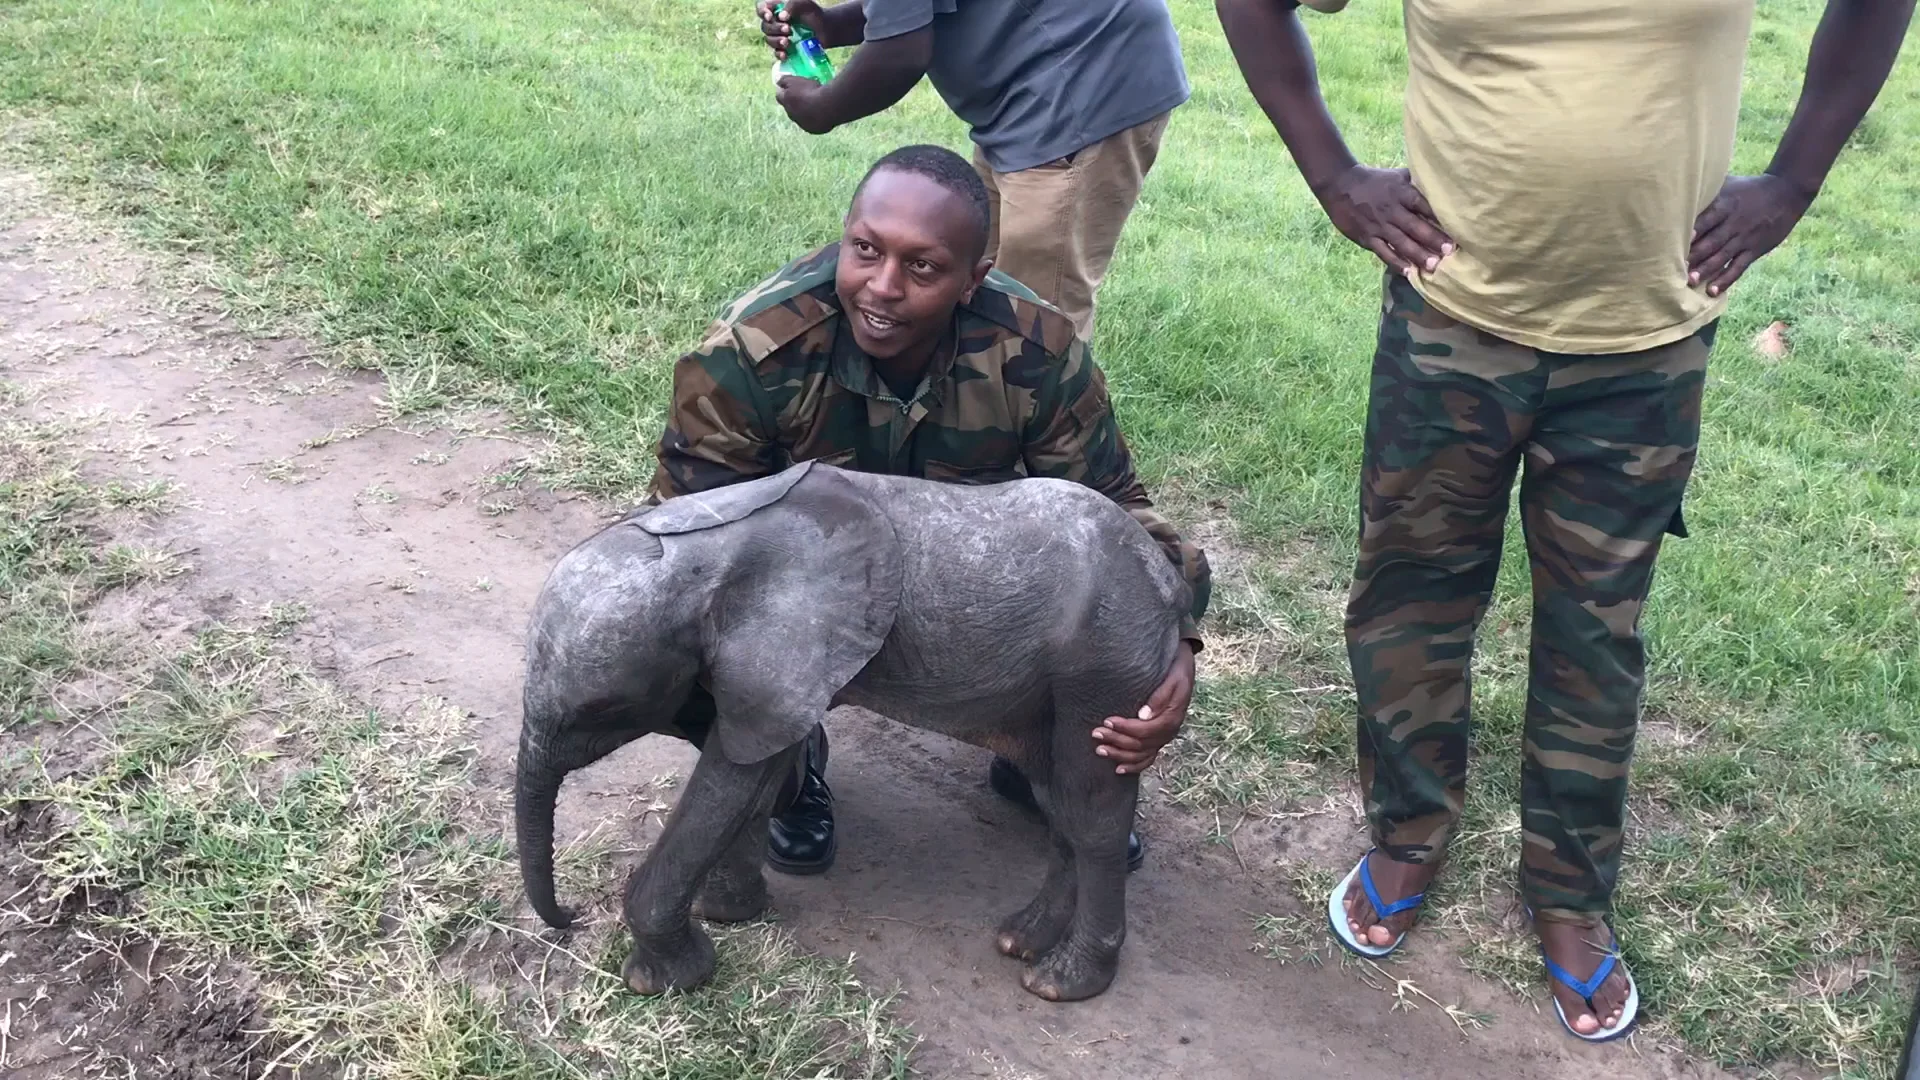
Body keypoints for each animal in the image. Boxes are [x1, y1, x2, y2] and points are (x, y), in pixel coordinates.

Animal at [513, 458, 1191, 1003]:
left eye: (600, 709)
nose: (571, 916)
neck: (703, 546)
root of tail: (1168, 583)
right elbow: (756, 775)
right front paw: (728, 912)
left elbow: (731, 779)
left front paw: (669, 978)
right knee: (1061, 808)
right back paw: (1021, 941)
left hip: (1106, 669)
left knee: (1091, 815)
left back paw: (1060, 983)